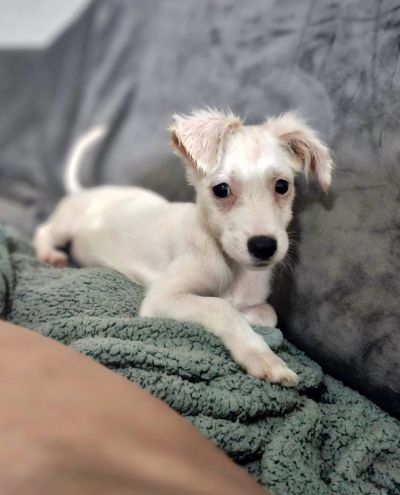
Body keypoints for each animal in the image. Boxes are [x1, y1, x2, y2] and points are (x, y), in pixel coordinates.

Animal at [34, 109, 333, 386]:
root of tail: (86, 191)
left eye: (282, 186)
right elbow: (219, 307)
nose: (264, 246)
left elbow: (267, 313)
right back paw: (50, 253)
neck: (229, 264)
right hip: (65, 225)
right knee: (44, 232)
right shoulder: (162, 298)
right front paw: (261, 355)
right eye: (221, 189)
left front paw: (248, 317)